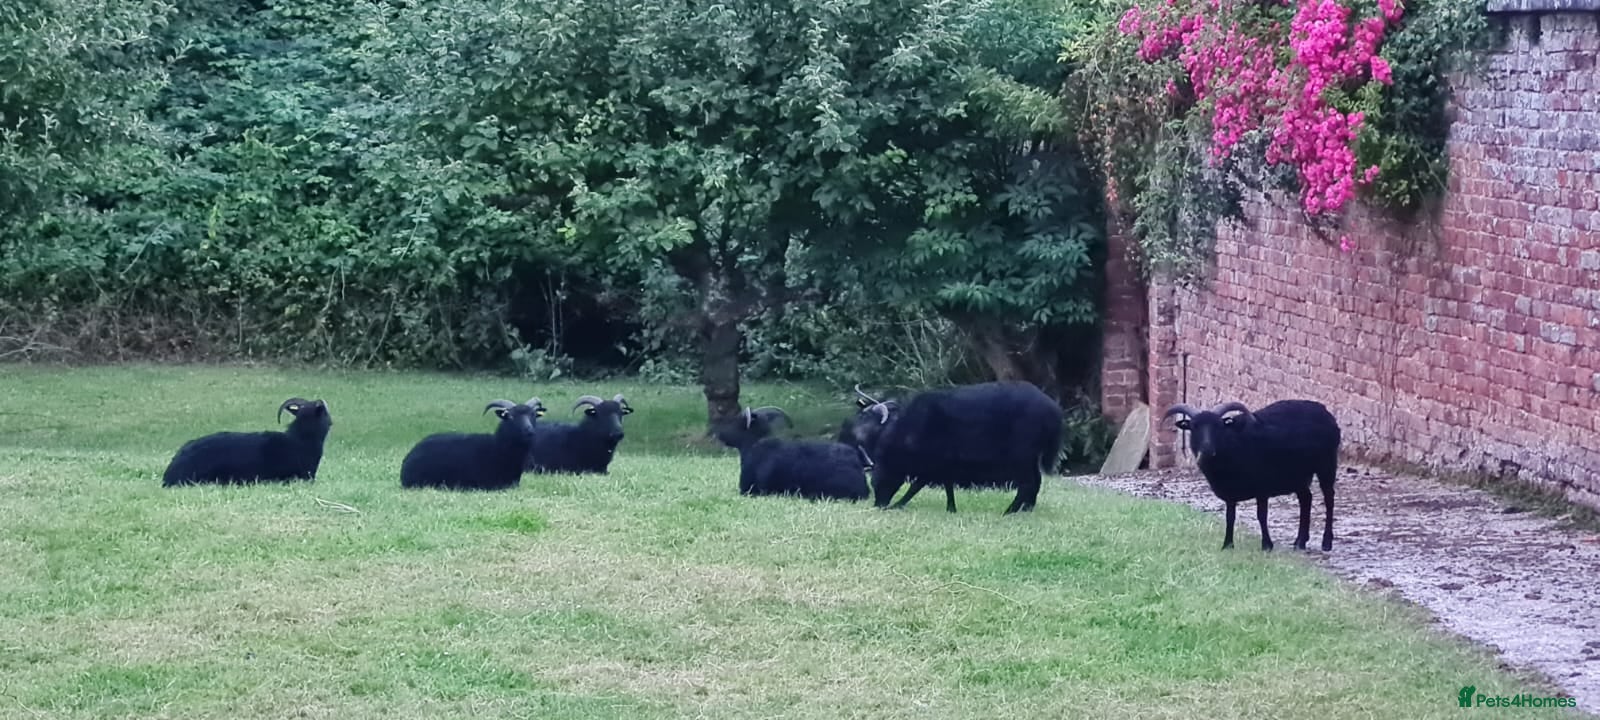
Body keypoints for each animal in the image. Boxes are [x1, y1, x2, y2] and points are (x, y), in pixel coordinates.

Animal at [839, 381, 1063, 515]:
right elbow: (947, 485)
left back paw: (1010, 510)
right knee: (1035, 481)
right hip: (1030, 456)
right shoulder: (944, 462)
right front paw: (951, 508)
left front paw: (899, 504)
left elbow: (917, 485)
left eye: (878, 480)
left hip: (1021, 455)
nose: (879, 505)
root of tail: (1054, 411)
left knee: (1027, 482)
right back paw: (1026, 509)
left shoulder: (933, 463)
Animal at [1163, 399, 1342, 551]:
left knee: (1329, 498)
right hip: (1298, 474)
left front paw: (1267, 545)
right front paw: (1227, 545)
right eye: (1194, 427)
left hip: (1326, 464)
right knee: (1306, 499)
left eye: (1219, 426)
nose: (1206, 450)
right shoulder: (1230, 491)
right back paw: (1300, 542)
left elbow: (1261, 515)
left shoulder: (1262, 486)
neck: (1232, 445)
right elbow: (1230, 517)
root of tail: (1325, 412)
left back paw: (1326, 542)